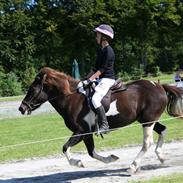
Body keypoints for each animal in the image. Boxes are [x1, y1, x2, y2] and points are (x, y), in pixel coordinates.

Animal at [18, 67, 183, 173]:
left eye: (32, 90)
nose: (21, 108)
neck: (71, 98)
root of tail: (159, 86)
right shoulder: (87, 134)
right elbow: (91, 152)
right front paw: (111, 158)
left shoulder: (80, 132)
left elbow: (65, 148)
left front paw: (77, 162)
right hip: (146, 120)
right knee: (163, 130)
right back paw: (161, 157)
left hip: (148, 121)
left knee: (147, 142)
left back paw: (133, 166)